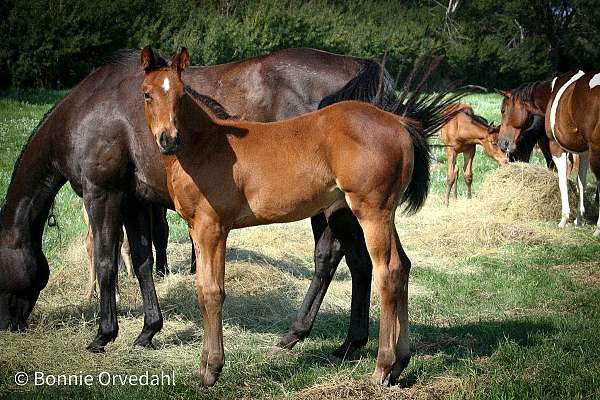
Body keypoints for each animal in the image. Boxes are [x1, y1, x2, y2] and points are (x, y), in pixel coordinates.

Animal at [0, 48, 400, 358]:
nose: (8, 323)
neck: (91, 110)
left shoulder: (103, 195)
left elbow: (106, 263)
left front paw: (103, 335)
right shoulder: (136, 201)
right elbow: (143, 261)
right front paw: (148, 331)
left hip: (338, 209)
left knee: (345, 260)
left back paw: (329, 340)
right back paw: (340, 341)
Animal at [141, 47, 464, 388]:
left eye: (180, 95)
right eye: (147, 94)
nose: (168, 139)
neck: (208, 145)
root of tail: (398, 121)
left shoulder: (212, 228)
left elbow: (212, 292)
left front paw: (210, 370)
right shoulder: (195, 228)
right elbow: (202, 288)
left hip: (371, 211)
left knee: (387, 272)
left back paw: (381, 368)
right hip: (384, 213)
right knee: (402, 267)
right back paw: (400, 364)